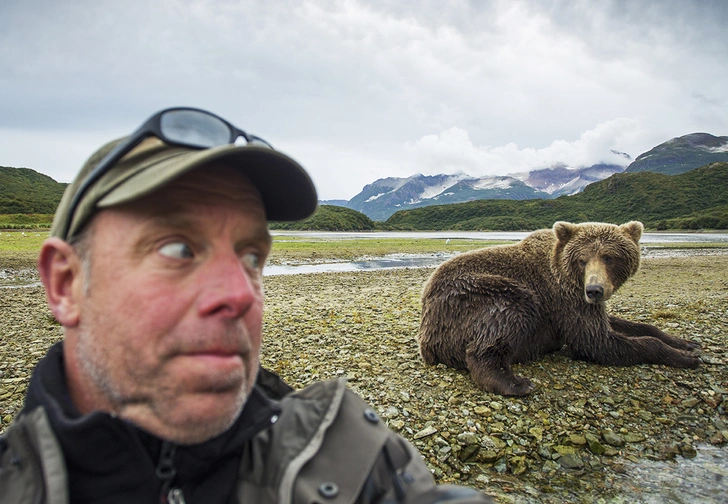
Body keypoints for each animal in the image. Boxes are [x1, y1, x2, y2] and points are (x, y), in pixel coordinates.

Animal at [418, 222, 704, 396]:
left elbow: (621, 324)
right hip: (474, 296)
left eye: (610, 257)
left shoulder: (582, 303)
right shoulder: (562, 296)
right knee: (509, 315)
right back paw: (516, 383)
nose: (595, 290)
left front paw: (685, 342)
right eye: (582, 259)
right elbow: (597, 341)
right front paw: (686, 357)